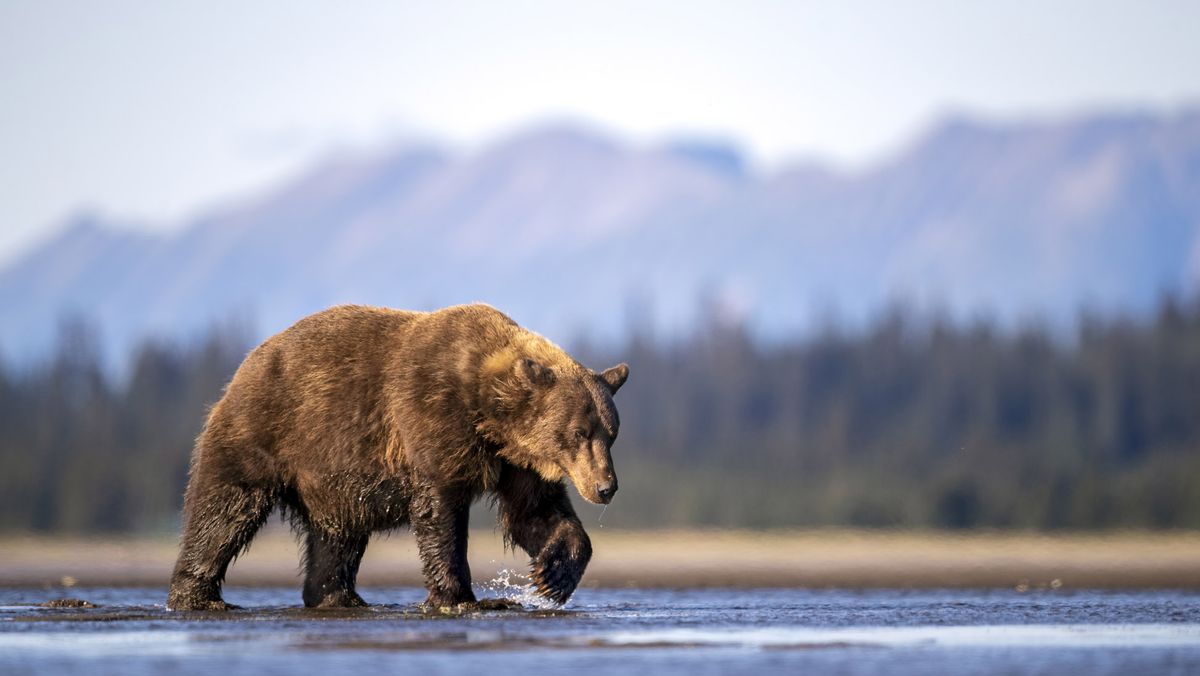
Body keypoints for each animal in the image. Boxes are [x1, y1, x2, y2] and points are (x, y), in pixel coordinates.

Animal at [165, 303, 628, 609]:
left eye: (611, 433)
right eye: (579, 432)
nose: (606, 487)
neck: (487, 413)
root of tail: (248, 361)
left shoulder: (516, 460)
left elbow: (535, 513)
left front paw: (552, 575)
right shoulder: (431, 419)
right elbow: (440, 512)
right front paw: (460, 597)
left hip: (333, 480)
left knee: (337, 536)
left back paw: (338, 597)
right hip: (266, 431)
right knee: (224, 511)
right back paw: (198, 596)